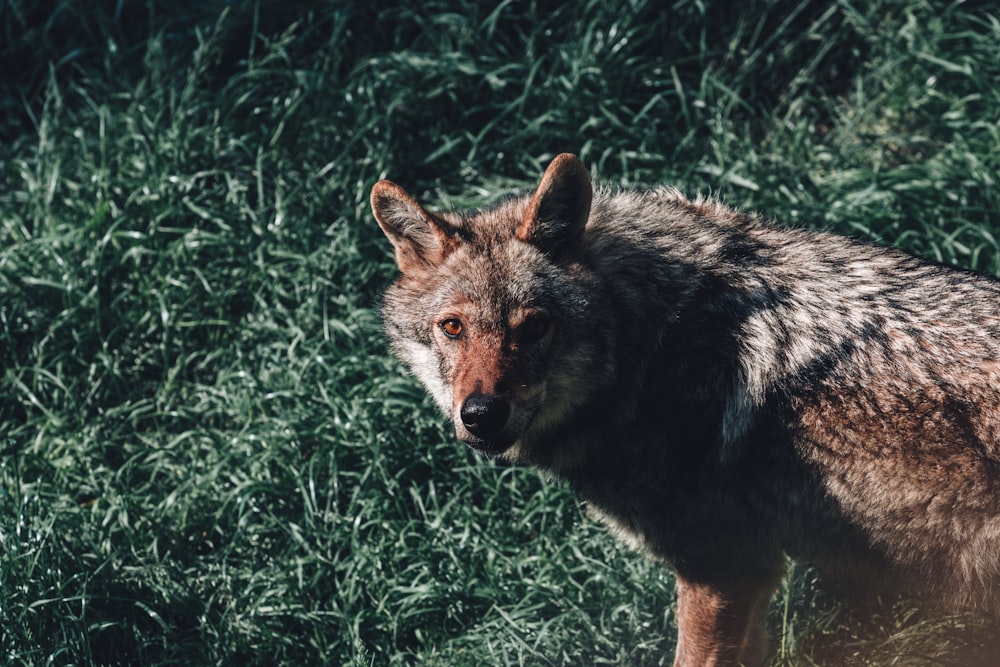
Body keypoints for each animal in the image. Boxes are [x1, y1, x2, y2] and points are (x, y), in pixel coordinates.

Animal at [370, 154, 1000, 664]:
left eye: (534, 328)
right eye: (453, 328)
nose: (481, 414)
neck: (651, 340)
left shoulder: (719, 572)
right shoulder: (753, 572)